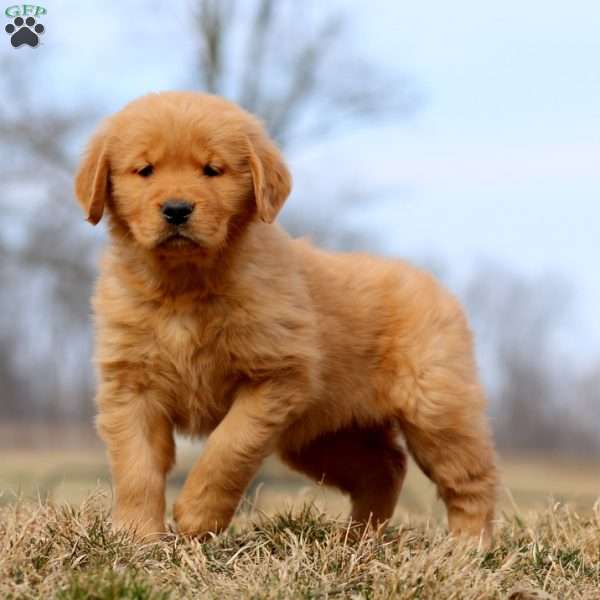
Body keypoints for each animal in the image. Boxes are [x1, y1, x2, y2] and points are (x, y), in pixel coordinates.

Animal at [75, 90, 496, 544]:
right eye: (145, 170)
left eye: (212, 170)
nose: (176, 209)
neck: (184, 288)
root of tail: (436, 286)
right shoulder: (130, 383)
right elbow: (136, 464)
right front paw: (137, 535)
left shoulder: (277, 376)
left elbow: (229, 446)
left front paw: (198, 516)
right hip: (322, 436)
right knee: (385, 467)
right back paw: (357, 539)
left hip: (435, 408)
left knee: (471, 478)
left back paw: (468, 545)